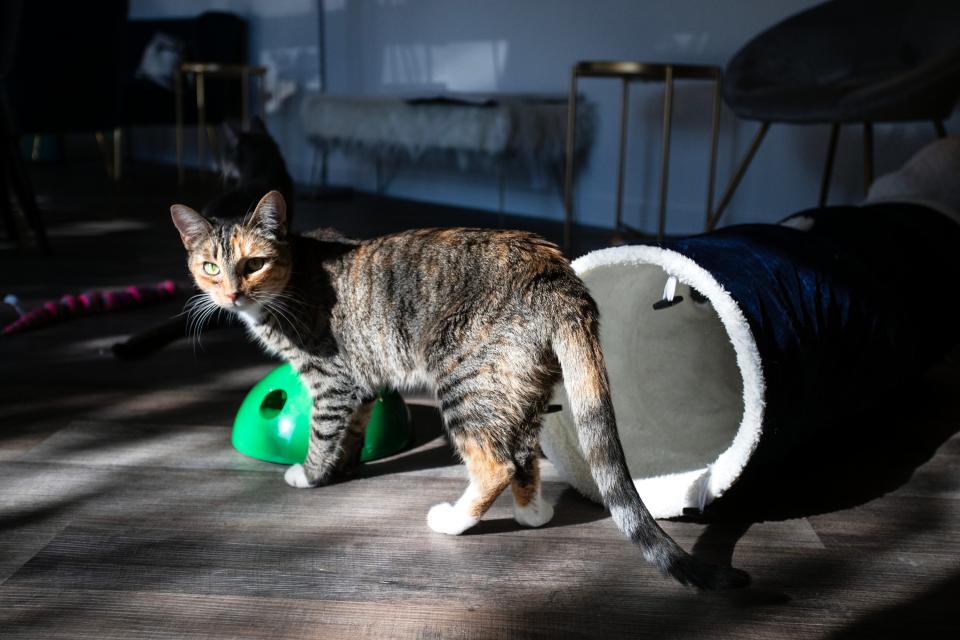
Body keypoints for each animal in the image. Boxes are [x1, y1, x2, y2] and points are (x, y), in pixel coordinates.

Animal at [167, 191, 752, 592]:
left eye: (254, 263)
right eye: (211, 266)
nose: (232, 294)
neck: (296, 272)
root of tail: (556, 275)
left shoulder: (330, 378)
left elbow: (323, 434)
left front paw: (310, 476)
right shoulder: (362, 382)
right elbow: (353, 432)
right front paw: (346, 468)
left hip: (463, 383)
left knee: (495, 463)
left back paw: (452, 521)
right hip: (519, 386)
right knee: (522, 456)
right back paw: (532, 513)